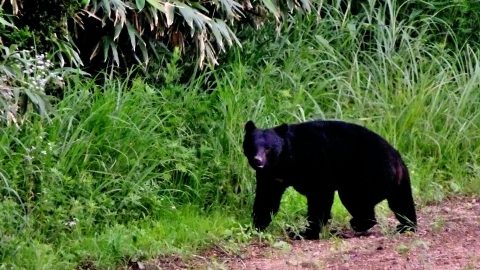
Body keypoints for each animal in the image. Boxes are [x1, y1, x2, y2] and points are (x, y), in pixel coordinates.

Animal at [244, 119, 416, 239]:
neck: (284, 162)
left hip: (364, 175)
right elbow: (266, 200)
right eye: (252, 146)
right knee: (402, 203)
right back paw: (406, 227)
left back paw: (357, 223)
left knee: (358, 201)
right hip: (397, 183)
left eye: (268, 148)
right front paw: (254, 227)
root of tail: (397, 158)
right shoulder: (270, 177)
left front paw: (306, 233)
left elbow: (319, 199)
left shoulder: (316, 165)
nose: (258, 161)